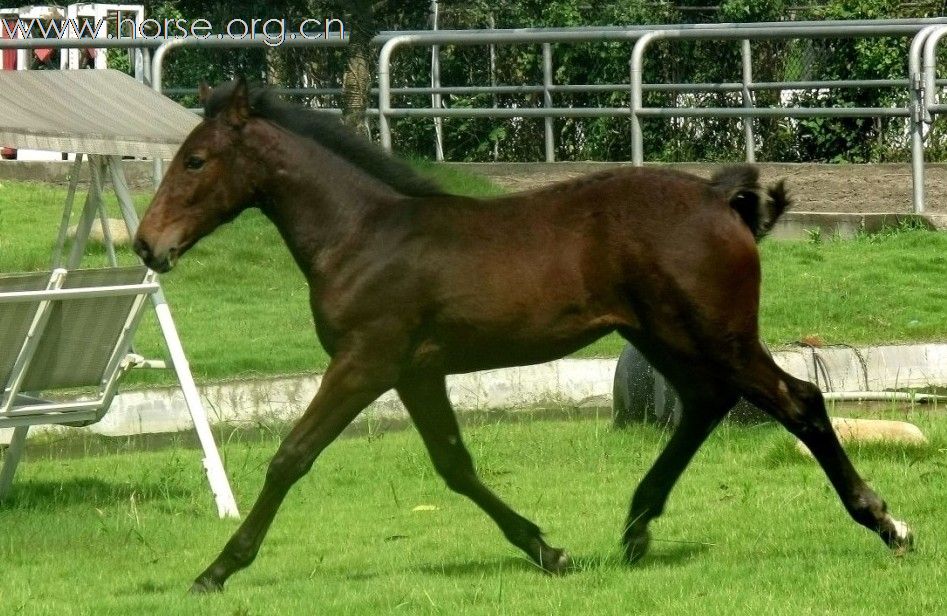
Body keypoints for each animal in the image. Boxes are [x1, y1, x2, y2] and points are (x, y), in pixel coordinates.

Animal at [133, 78, 912, 592]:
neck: (362, 236)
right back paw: (635, 526)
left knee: (798, 401)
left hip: (716, 334)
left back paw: (884, 522)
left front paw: (216, 569)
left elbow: (290, 457)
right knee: (705, 403)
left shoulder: (365, 361)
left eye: (195, 160)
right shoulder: (415, 371)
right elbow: (454, 465)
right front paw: (547, 550)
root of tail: (720, 198)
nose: (148, 245)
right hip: (663, 336)